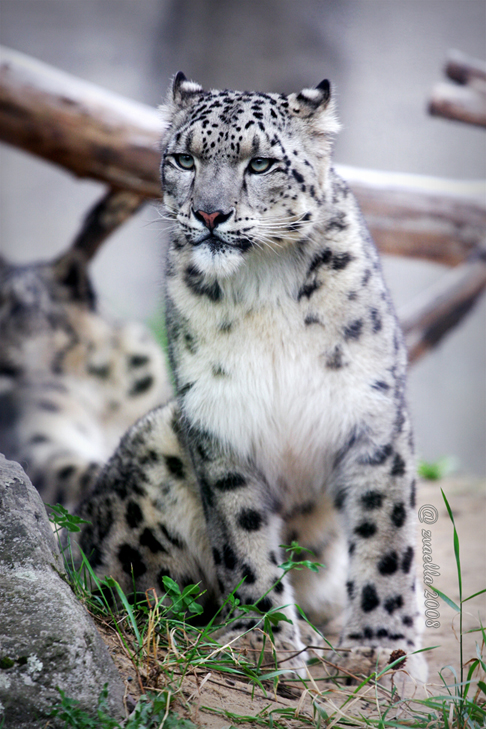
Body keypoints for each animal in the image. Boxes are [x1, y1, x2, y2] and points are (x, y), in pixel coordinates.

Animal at [75, 75, 426, 684]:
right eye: (184, 159)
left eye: (260, 163)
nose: (209, 214)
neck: (265, 287)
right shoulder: (219, 420)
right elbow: (242, 536)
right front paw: (264, 642)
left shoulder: (372, 416)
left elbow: (387, 536)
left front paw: (381, 651)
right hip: (155, 444)